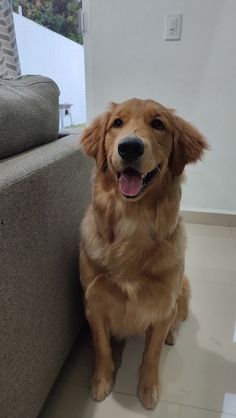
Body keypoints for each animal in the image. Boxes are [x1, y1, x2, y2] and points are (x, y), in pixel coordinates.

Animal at [78, 97, 207, 408]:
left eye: (158, 124)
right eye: (117, 123)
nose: (130, 147)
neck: (132, 220)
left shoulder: (162, 304)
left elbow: (152, 353)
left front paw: (148, 388)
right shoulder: (94, 300)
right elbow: (102, 346)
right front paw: (101, 381)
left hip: (183, 288)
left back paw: (172, 334)